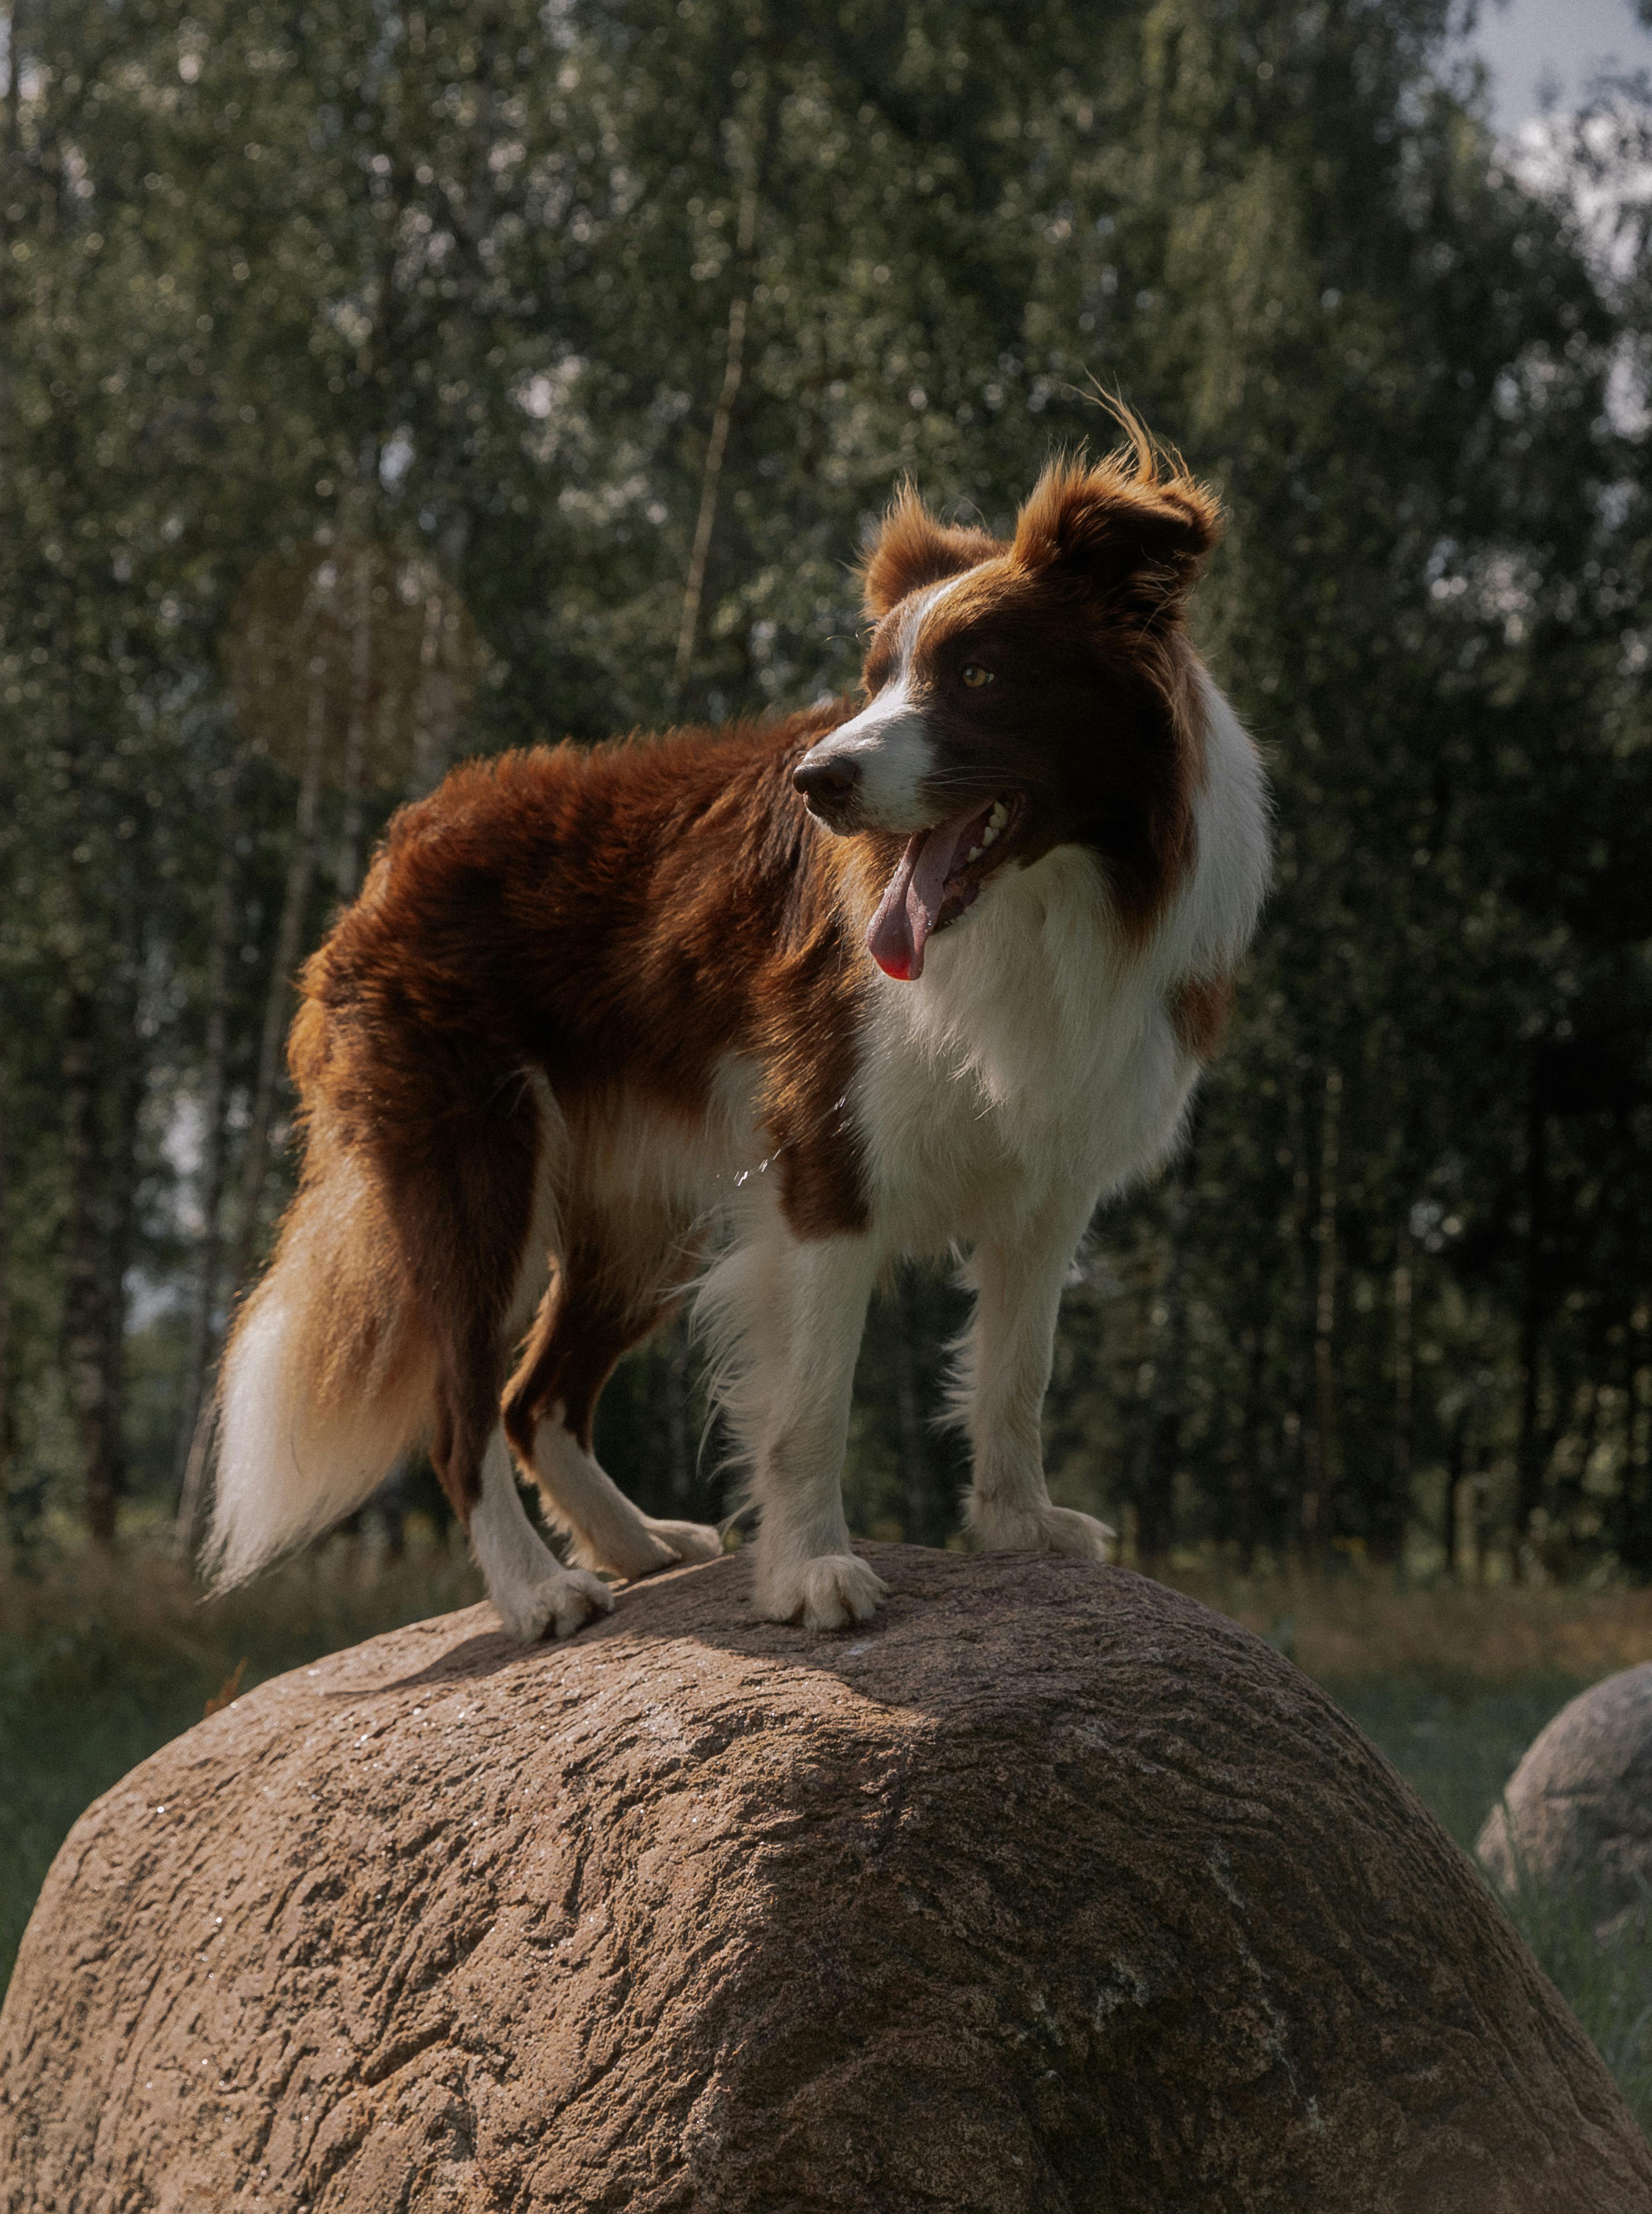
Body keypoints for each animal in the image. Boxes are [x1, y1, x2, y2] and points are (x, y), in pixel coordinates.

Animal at [202, 432, 1258, 1638]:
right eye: (876, 681)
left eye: (979, 676)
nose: (818, 781)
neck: (1046, 902)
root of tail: (395, 849)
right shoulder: (824, 1161)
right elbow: (809, 1404)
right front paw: (810, 1573)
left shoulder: (1052, 1176)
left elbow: (1016, 1372)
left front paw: (1019, 1526)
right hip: (476, 1163)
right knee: (463, 1409)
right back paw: (539, 1591)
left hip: (639, 1204)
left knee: (534, 1393)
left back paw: (635, 1543)